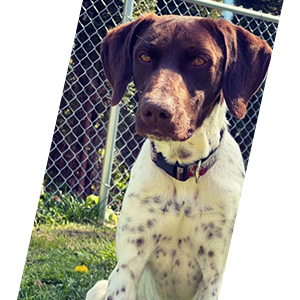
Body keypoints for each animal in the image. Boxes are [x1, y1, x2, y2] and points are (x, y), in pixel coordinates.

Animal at [86, 13, 272, 300]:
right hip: (99, 287)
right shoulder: (128, 265)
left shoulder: (216, 274)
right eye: (143, 56)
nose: (155, 111)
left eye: (200, 61)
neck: (183, 170)